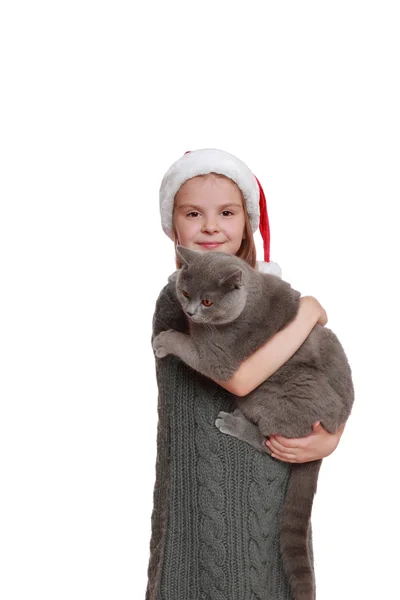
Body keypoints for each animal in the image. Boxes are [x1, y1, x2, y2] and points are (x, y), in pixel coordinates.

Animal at [152, 245, 354, 600]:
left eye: (208, 302)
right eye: (187, 294)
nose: (190, 312)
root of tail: (332, 427)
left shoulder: (218, 359)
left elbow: (186, 345)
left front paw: (164, 341)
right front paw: (174, 273)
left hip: (272, 391)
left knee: (271, 442)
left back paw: (232, 423)